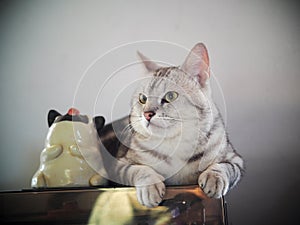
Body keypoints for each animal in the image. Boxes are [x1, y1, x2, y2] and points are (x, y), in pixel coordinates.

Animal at [101, 43, 244, 208]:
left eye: (170, 96)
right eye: (143, 99)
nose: (147, 113)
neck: (175, 143)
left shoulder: (235, 159)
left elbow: (224, 166)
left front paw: (214, 177)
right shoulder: (119, 165)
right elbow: (137, 169)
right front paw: (150, 185)